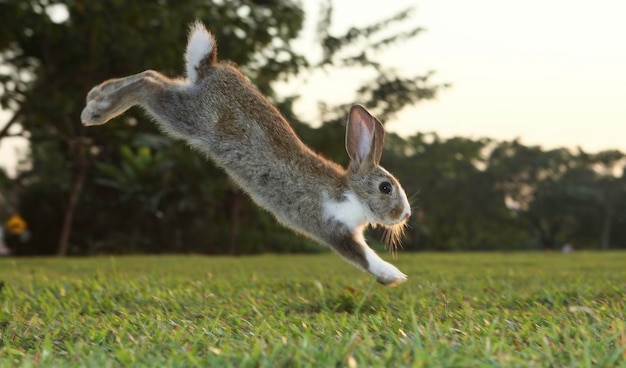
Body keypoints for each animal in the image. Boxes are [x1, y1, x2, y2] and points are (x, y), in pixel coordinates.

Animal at [81, 21, 410, 286]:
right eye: (385, 187)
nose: (405, 214)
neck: (351, 191)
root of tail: (211, 68)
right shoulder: (333, 228)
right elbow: (362, 256)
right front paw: (394, 276)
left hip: (185, 99)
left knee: (153, 76)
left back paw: (96, 95)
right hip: (187, 116)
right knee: (148, 84)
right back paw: (95, 111)